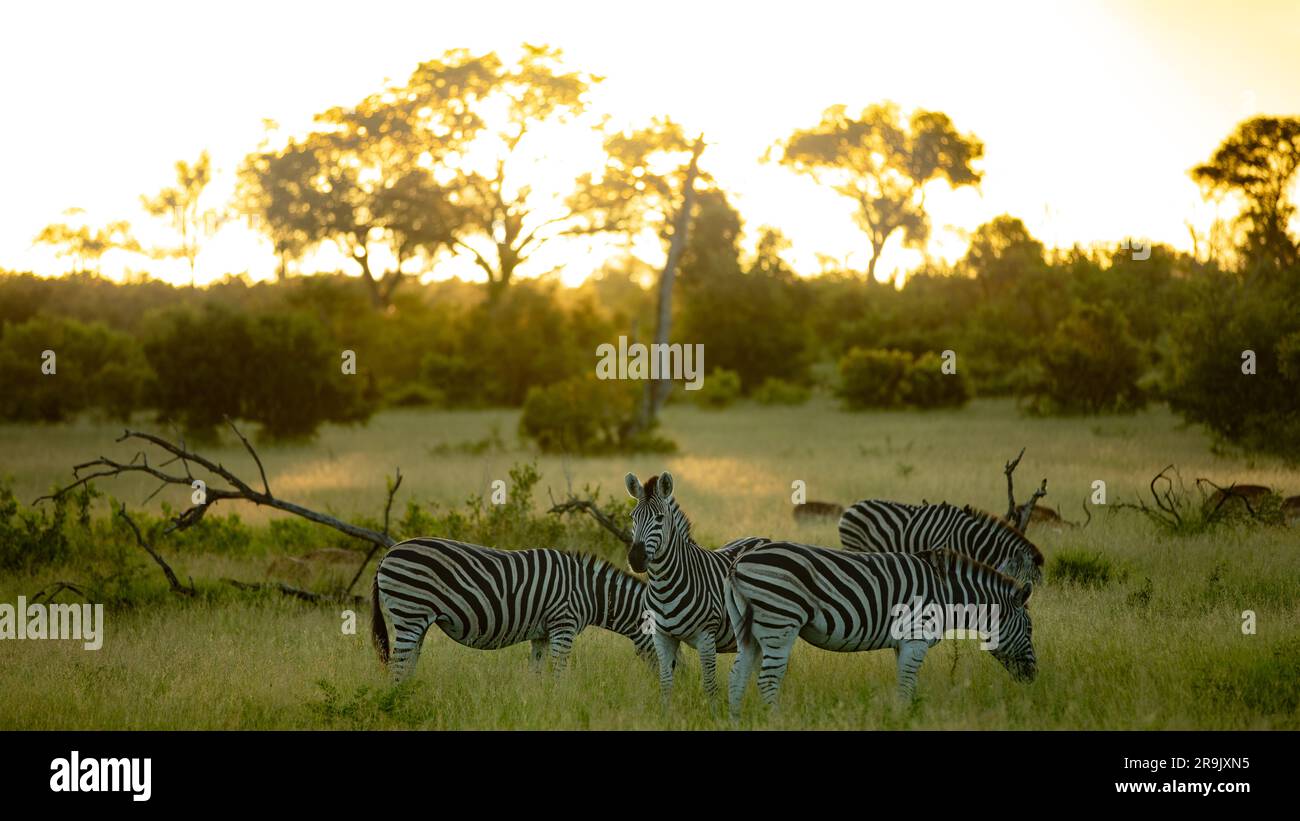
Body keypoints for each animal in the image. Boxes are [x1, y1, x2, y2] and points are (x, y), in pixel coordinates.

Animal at [374, 535, 660, 680]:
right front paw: (561, 704)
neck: (587, 591)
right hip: (410, 613)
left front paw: (538, 706)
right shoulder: (563, 626)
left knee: (408, 664)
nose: (665, 682)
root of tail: (388, 553)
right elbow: (559, 673)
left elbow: (536, 673)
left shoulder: (543, 634)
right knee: (398, 665)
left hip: (417, 620)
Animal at [624, 470, 764, 706]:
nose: (635, 559)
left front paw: (715, 713)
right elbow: (665, 683)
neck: (663, 586)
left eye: (659, 518)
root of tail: (762, 538)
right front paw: (665, 712)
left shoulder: (706, 637)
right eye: (633, 517)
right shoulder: (661, 636)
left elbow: (709, 686)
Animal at [728, 543, 1029, 722]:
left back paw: (735, 721)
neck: (946, 593)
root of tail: (738, 562)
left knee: (737, 676)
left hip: (748, 630)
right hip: (781, 621)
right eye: (1029, 628)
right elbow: (906, 686)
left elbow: (907, 685)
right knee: (767, 680)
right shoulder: (916, 638)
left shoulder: (903, 644)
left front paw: (904, 717)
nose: (1032, 677)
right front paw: (903, 719)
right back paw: (777, 721)